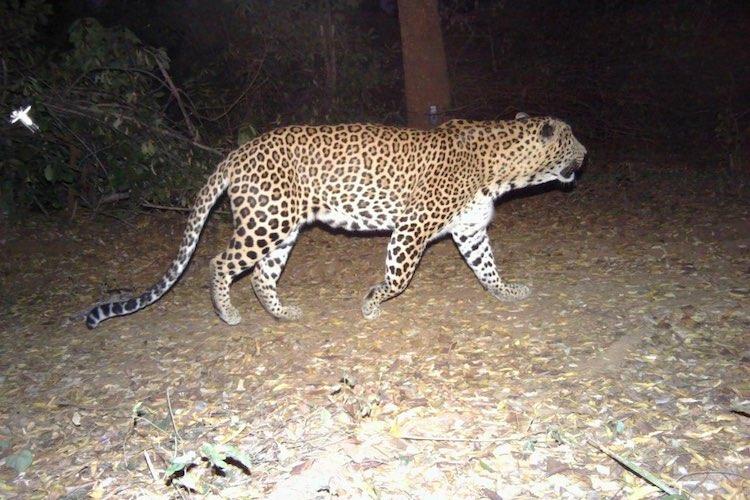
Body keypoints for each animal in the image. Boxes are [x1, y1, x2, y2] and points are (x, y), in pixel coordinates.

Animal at [85, 113, 586, 328]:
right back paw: (228, 314)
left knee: (261, 276)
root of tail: (237, 152)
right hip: (265, 222)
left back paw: (283, 313)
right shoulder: (412, 228)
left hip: (282, 229)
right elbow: (398, 279)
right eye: (573, 139)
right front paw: (371, 303)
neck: (503, 169)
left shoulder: (469, 231)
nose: (586, 155)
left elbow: (487, 266)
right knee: (218, 263)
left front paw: (507, 292)